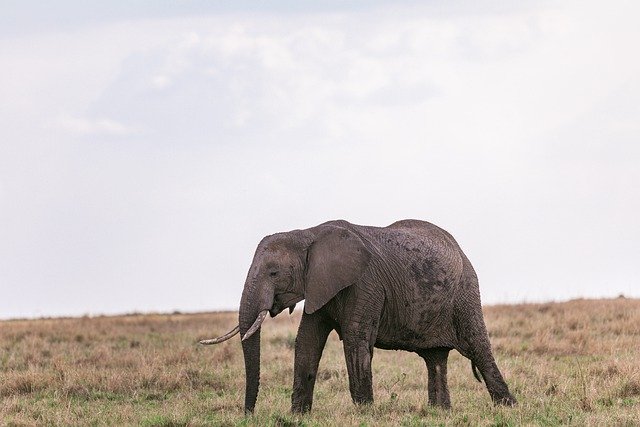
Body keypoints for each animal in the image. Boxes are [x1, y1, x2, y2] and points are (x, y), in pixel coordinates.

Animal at [202, 219, 516, 412]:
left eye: (274, 273)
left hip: (465, 290)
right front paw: (297, 416)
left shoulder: (364, 284)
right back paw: (440, 412)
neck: (307, 233)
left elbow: (355, 340)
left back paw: (507, 408)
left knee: (478, 346)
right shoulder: (320, 285)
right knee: (435, 359)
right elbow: (307, 342)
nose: (249, 414)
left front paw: (365, 413)